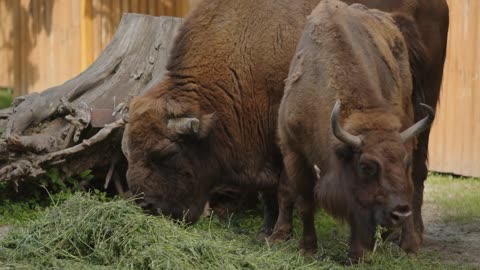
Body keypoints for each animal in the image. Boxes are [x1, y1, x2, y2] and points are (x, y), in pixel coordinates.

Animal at [124, 0, 318, 234]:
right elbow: (267, 192)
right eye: (129, 152)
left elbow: (285, 188)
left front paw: (279, 234)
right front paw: (263, 232)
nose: (147, 206)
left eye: (167, 152)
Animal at [274, 0, 436, 262]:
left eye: (404, 162)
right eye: (366, 166)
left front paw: (357, 254)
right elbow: (306, 201)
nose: (400, 212)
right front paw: (308, 249)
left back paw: (409, 246)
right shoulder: (293, 151)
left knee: (412, 187)